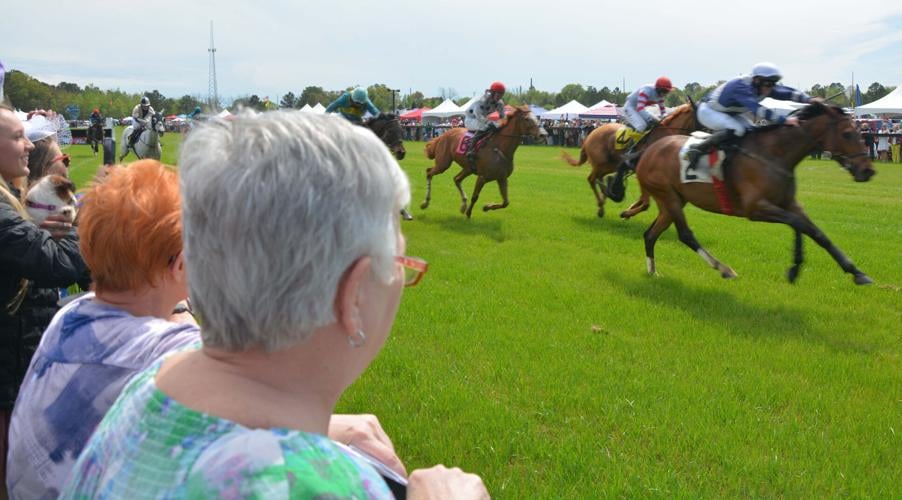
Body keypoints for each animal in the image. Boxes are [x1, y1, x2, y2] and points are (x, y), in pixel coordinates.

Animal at [420, 106, 548, 218]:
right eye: (527, 119)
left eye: (537, 118)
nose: (543, 134)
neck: (500, 148)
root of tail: (443, 135)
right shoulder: (482, 177)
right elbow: (475, 196)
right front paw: (469, 213)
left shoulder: (502, 178)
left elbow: (506, 202)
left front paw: (486, 207)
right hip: (443, 163)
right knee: (429, 172)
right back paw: (425, 203)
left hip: (468, 168)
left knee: (456, 179)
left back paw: (463, 204)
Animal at [560, 100, 704, 219]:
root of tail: (590, 135)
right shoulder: (643, 173)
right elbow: (645, 203)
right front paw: (626, 212)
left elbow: (643, 200)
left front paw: (627, 210)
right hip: (601, 163)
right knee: (591, 179)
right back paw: (602, 204)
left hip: (609, 165)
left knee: (598, 178)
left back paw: (605, 199)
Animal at [636, 100, 876, 286]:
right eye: (847, 134)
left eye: (858, 132)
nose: (868, 171)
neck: (774, 155)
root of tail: (647, 151)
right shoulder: (755, 208)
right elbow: (799, 224)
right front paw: (795, 267)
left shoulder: (789, 203)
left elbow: (816, 233)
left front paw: (856, 272)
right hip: (669, 196)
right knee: (685, 235)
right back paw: (724, 268)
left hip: (672, 200)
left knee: (650, 234)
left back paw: (652, 271)